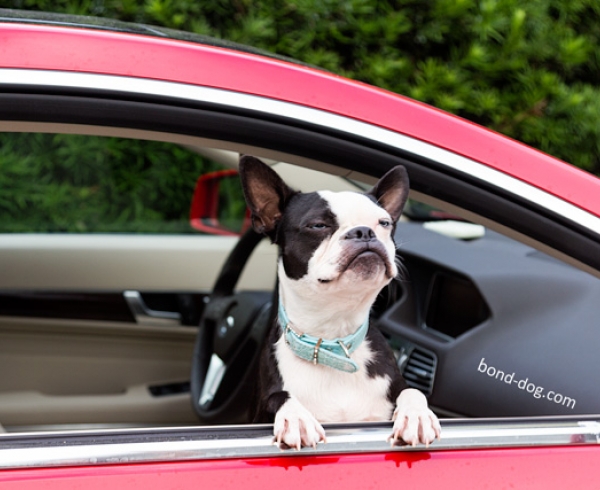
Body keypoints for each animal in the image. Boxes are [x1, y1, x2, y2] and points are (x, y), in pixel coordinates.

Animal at [239, 156, 440, 448]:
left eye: (384, 223)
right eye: (318, 225)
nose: (364, 231)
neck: (333, 340)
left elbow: (412, 390)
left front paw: (417, 415)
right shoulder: (258, 410)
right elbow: (279, 396)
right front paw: (296, 418)